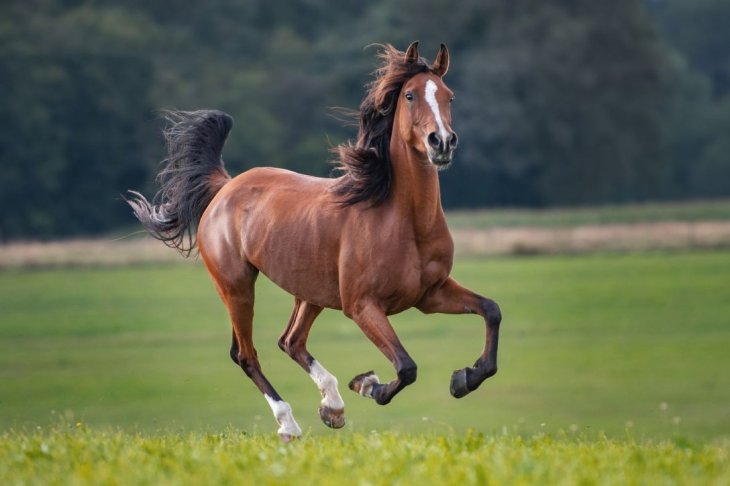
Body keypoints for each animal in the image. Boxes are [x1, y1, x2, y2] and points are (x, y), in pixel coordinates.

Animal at [127, 42, 501, 441]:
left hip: (310, 292)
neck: (403, 220)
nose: (442, 142)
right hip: (237, 287)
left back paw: (332, 408)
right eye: (410, 95)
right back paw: (290, 424)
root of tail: (225, 187)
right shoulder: (362, 306)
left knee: (291, 341)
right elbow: (406, 367)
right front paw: (369, 384)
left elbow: (491, 310)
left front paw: (464, 378)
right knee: (246, 353)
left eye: (449, 96)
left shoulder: (430, 295)